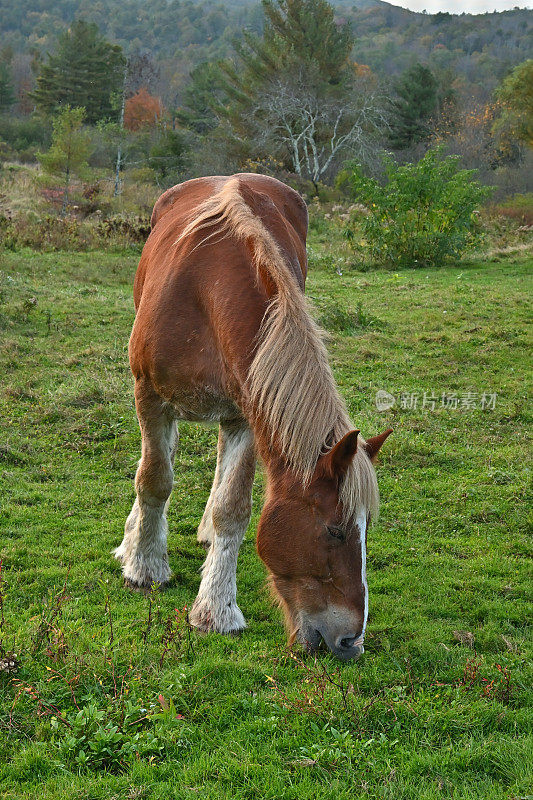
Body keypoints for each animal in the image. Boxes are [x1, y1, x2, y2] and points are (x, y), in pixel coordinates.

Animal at [115, 175, 390, 664]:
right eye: (336, 531)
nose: (352, 641)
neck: (205, 292)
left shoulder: (247, 413)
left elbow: (234, 508)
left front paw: (216, 608)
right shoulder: (149, 395)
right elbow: (154, 479)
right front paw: (145, 567)